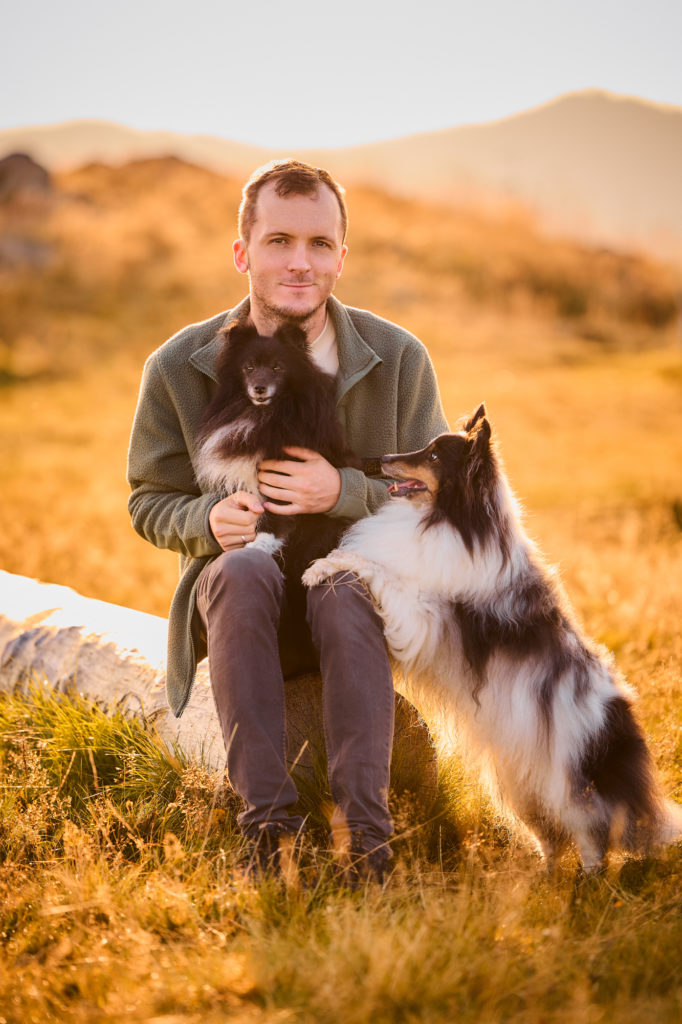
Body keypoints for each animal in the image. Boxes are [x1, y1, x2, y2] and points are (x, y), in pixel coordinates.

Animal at [303, 403, 679, 868]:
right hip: (521, 785)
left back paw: (585, 883)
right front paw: (326, 561)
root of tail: (620, 723)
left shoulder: (426, 618)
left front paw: (323, 566)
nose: (380, 460)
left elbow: (372, 566)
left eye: (432, 456)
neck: (452, 519)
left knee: (592, 839)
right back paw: (542, 877)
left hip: (570, 785)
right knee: (551, 838)